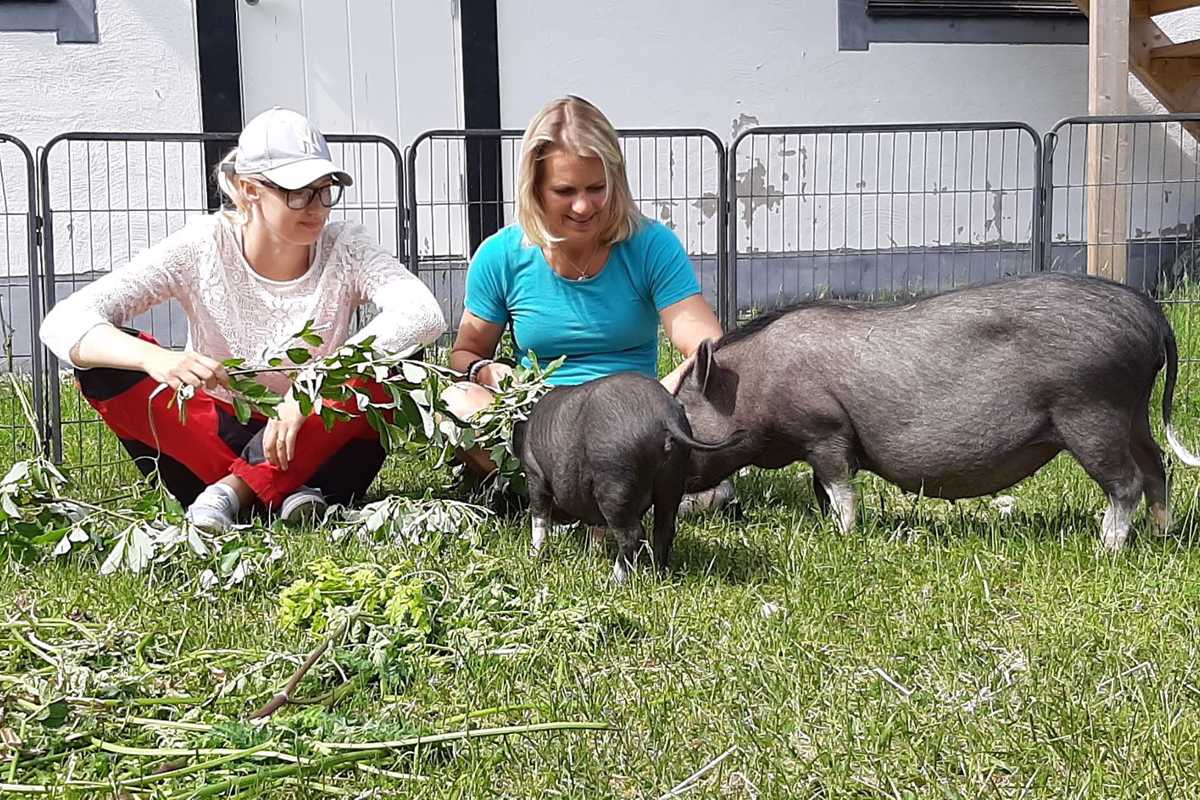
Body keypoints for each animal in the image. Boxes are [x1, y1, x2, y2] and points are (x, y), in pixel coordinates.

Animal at [516, 371, 739, 585]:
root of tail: (664, 415)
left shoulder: (535, 475)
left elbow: (539, 518)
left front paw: (534, 556)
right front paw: (593, 554)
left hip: (615, 480)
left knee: (633, 535)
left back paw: (614, 582)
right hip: (672, 480)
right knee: (664, 530)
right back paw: (658, 575)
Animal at [676, 271, 1200, 551]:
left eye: (681, 410)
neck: (755, 383)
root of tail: (1152, 315)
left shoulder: (825, 431)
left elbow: (839, 487)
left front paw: (842, 537)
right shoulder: (818, 443)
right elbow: (821, 488)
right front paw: (826, 527)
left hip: (1092, 410)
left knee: (1127, 481)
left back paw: (1105, 548)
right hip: (1133, 411)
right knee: (1158, 465)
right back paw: (1163, 535)